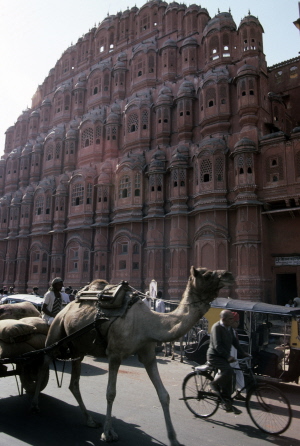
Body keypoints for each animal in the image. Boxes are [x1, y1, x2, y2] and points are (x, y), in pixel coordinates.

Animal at [32, 266, 234, 444]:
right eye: (206, 274)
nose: (229, 275)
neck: (147, 323)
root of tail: (66, 307)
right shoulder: (114, 354)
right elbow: (110, 393)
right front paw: (108, 433)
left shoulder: (148, 354)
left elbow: (164, 395)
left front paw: (174, 438)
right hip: (55, 332)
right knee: (44, 363)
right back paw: (35, 404)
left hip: (78, 348)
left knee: (74, 383)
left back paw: (89, 420)